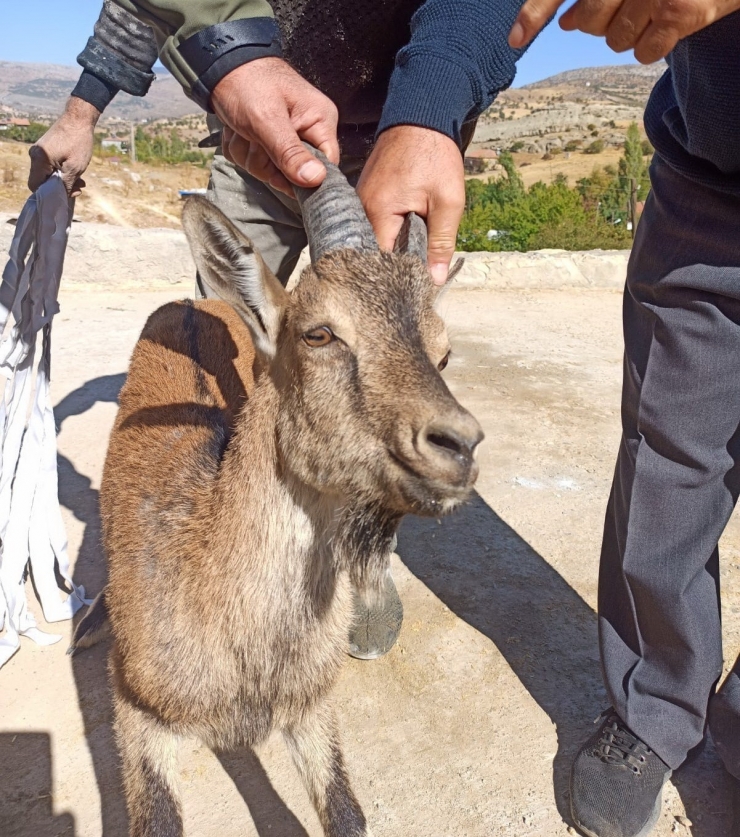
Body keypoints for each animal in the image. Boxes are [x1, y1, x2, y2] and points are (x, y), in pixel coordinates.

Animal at [72, 150, 482, 836]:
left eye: (445, 353)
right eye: (319, 333)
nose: (460, 445)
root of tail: (197, 303)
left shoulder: (311, 709)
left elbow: (345, 811)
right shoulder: (138, 713)